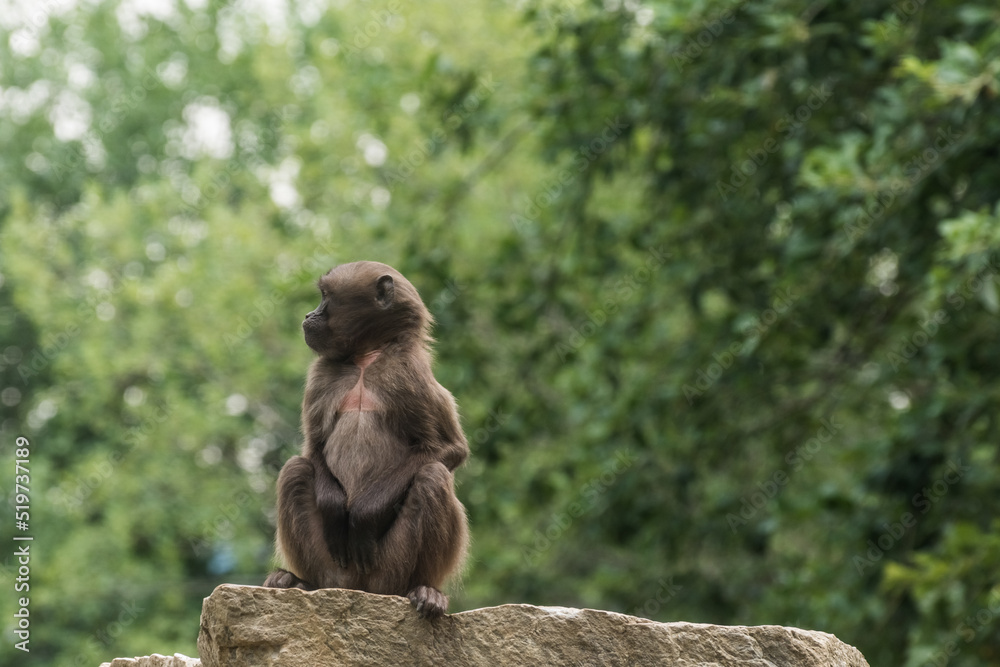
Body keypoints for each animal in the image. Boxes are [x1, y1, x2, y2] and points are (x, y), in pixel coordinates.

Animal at [263, 261, 469, 619]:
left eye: (326, 297)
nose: (308, 315)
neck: (364, 360)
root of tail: (357, 587)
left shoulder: (410, 374)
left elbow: (449, 448)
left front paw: (364, 515)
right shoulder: (322, 374)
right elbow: (313, 448)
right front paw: (335, 507)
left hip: (388, 568)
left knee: (432, 476)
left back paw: (425, 591)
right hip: (332, 564)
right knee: (295, 470)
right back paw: (298, 582)